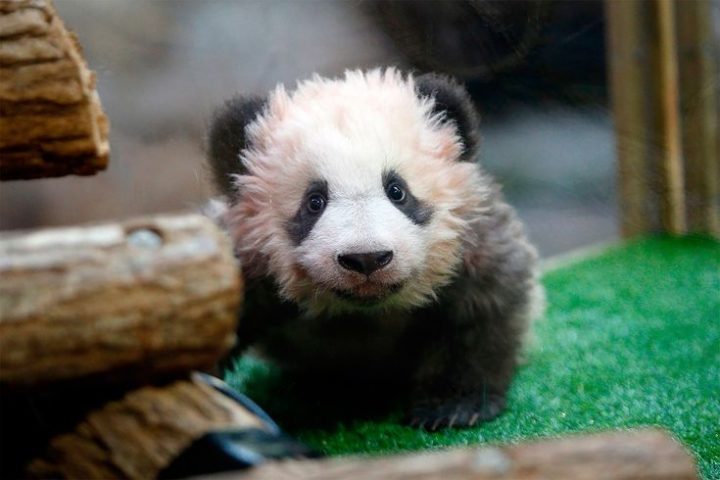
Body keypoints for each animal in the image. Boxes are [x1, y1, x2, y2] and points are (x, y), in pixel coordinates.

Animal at [205, 68, 544, 432]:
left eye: (397, 191)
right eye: (314, 202)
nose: (366, 259)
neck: (365, 311)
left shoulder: (470, 242)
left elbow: (478, 313)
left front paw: (453, 405)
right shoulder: (245, 260)